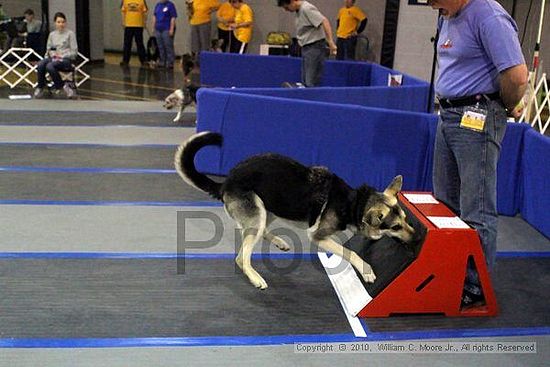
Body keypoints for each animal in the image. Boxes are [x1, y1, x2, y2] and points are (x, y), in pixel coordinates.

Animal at [175, 132, 416, 290]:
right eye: (396, 226)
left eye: (406, 219)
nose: (417, 238)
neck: (353, 202)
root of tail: (226, 182)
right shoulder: (319, 237)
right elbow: (350, 252)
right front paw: (366, 270)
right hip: (259, 212)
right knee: (241, 258)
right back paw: (255, 278)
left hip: (270, 208)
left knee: (257, 236)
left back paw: (279, 242)